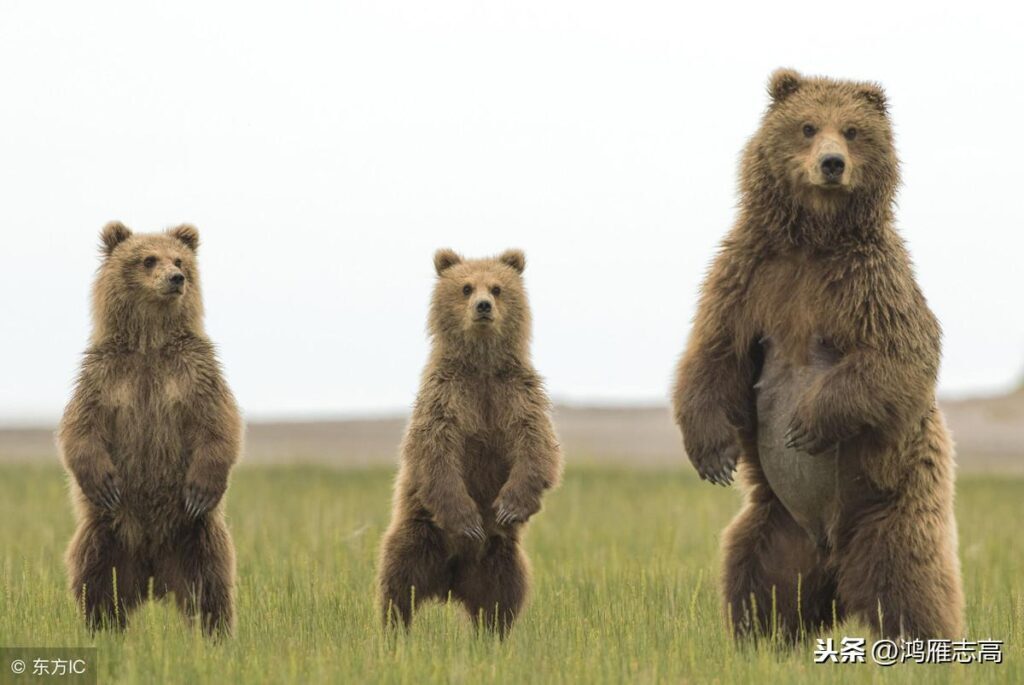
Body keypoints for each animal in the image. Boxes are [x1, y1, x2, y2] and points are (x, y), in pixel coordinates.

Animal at [59, 223, 241, 634]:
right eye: (148, 259)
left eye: (179, 259)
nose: (176, 278)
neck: (149, 341)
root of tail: (155, 578)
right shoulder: (105, 375)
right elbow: (80, 426)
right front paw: (104, 482)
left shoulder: (195, 372)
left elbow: (219, 424)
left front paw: (201, 489)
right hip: (107, 535)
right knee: (95, 582)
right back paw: (102, 629)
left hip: (197, 537)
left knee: (210, 587)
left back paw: (215, 635)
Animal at [380, 246, 565, 634]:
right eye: (466, 287)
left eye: (496, 288)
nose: (483, 306)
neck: (482, 366)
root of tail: (450, 582)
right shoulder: (446, 395)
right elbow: (435, 451)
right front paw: (468, 521)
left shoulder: (516, 394)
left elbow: (537, 446)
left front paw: (509, 506)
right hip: (418, 533)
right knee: (397, 582)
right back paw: (395, 631)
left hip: (498, 556)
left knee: (503, 594)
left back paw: (493, 635)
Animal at [671, 68, 958, 634]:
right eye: (807, 126)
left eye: (851, 130)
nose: (831, 163)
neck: (812, 239)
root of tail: (830, 553)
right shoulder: (749, 276)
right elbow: (715, 353)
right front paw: (713, 455)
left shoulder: (871, 281)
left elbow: (899, 357)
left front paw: (806, 422)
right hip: (778, 526)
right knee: (756, 580)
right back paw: (758, 637)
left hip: (890, 505)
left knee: (908, 584)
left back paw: (923, 638)